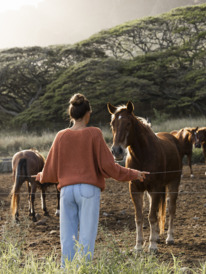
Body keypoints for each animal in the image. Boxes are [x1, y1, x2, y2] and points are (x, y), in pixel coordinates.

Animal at [108, 101, 182, 252]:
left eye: (128, 123)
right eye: (112, 123)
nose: (117, 151)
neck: (143, 155)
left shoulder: (155, 188)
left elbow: (152, 216)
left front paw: (152, 246)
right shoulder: (136, 189)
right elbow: (140, 217)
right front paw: (138, 246)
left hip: (174, 182)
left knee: (171, 209)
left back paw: (169, 238)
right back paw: (157, 236)